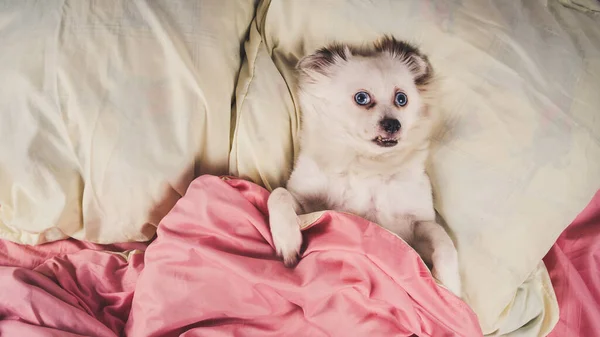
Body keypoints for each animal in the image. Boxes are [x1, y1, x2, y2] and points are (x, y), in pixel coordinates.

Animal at [270, 35, 462, 296]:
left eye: (401, 99)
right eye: (361, 98)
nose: (393, 124)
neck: (367, 162)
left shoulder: (412, 228)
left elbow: (442, 237)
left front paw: (449, 283)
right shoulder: (308, 205)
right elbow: (278, 194)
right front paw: (287, 239)